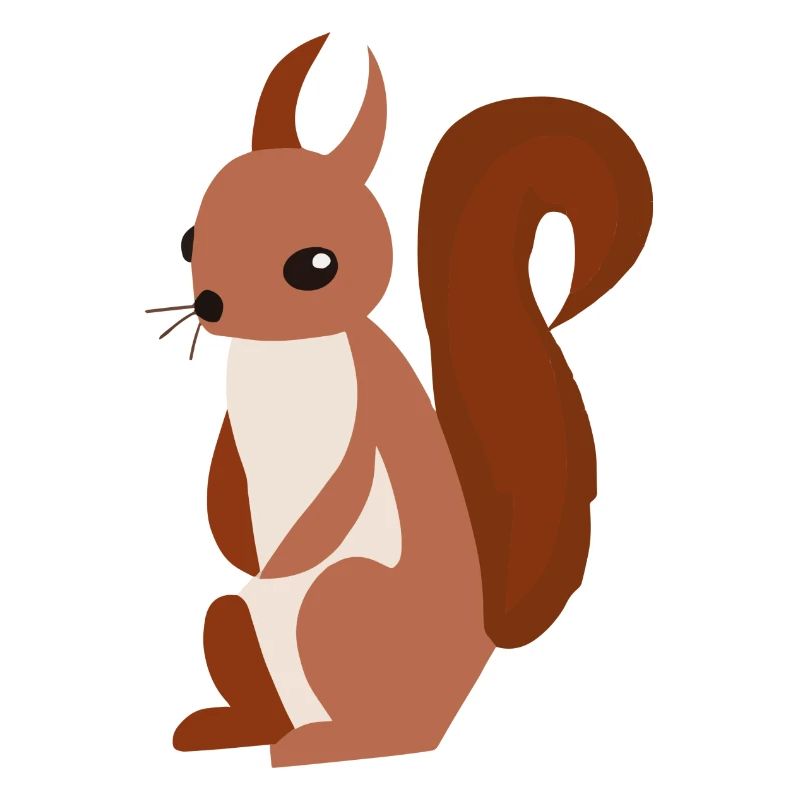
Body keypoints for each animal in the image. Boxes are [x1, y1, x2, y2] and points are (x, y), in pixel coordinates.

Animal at [152, 34, 652, 767]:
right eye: (189, 238)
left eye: (316, 266)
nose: (212, 305)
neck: (282, 353)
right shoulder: (233, 427)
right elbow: (223, 478)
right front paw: (240, 541)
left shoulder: (369, 410)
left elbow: (340, 495)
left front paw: (284, 557)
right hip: (232, 619)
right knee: (251, 652)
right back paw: (235, 729)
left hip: (340, 607)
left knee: (395, 731)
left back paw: (326, 743)